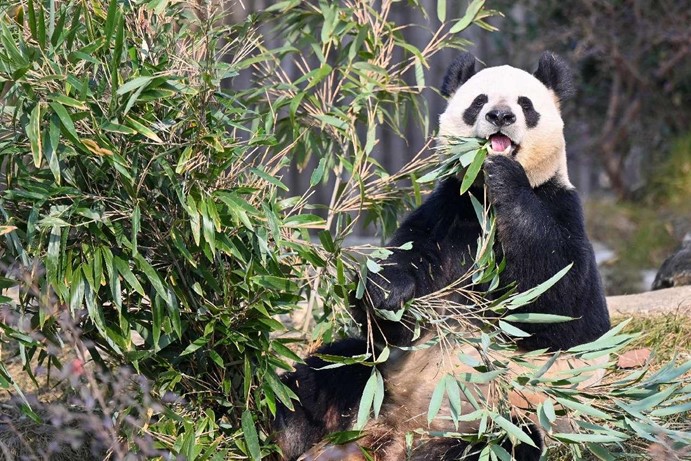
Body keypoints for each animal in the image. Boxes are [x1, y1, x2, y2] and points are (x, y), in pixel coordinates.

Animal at [272, 52, 611, 461]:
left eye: (525, 105)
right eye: (478, 102)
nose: (501, 116)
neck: (483, 200)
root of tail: (396, 432)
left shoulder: (560, 206)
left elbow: (564, 306)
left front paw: (505, 176)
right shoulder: (446, 213)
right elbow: (398, 298)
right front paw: (386, 293)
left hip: (501, 417)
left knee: (510, 442)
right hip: (374, 379)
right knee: (316, 378)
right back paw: (286, 433)